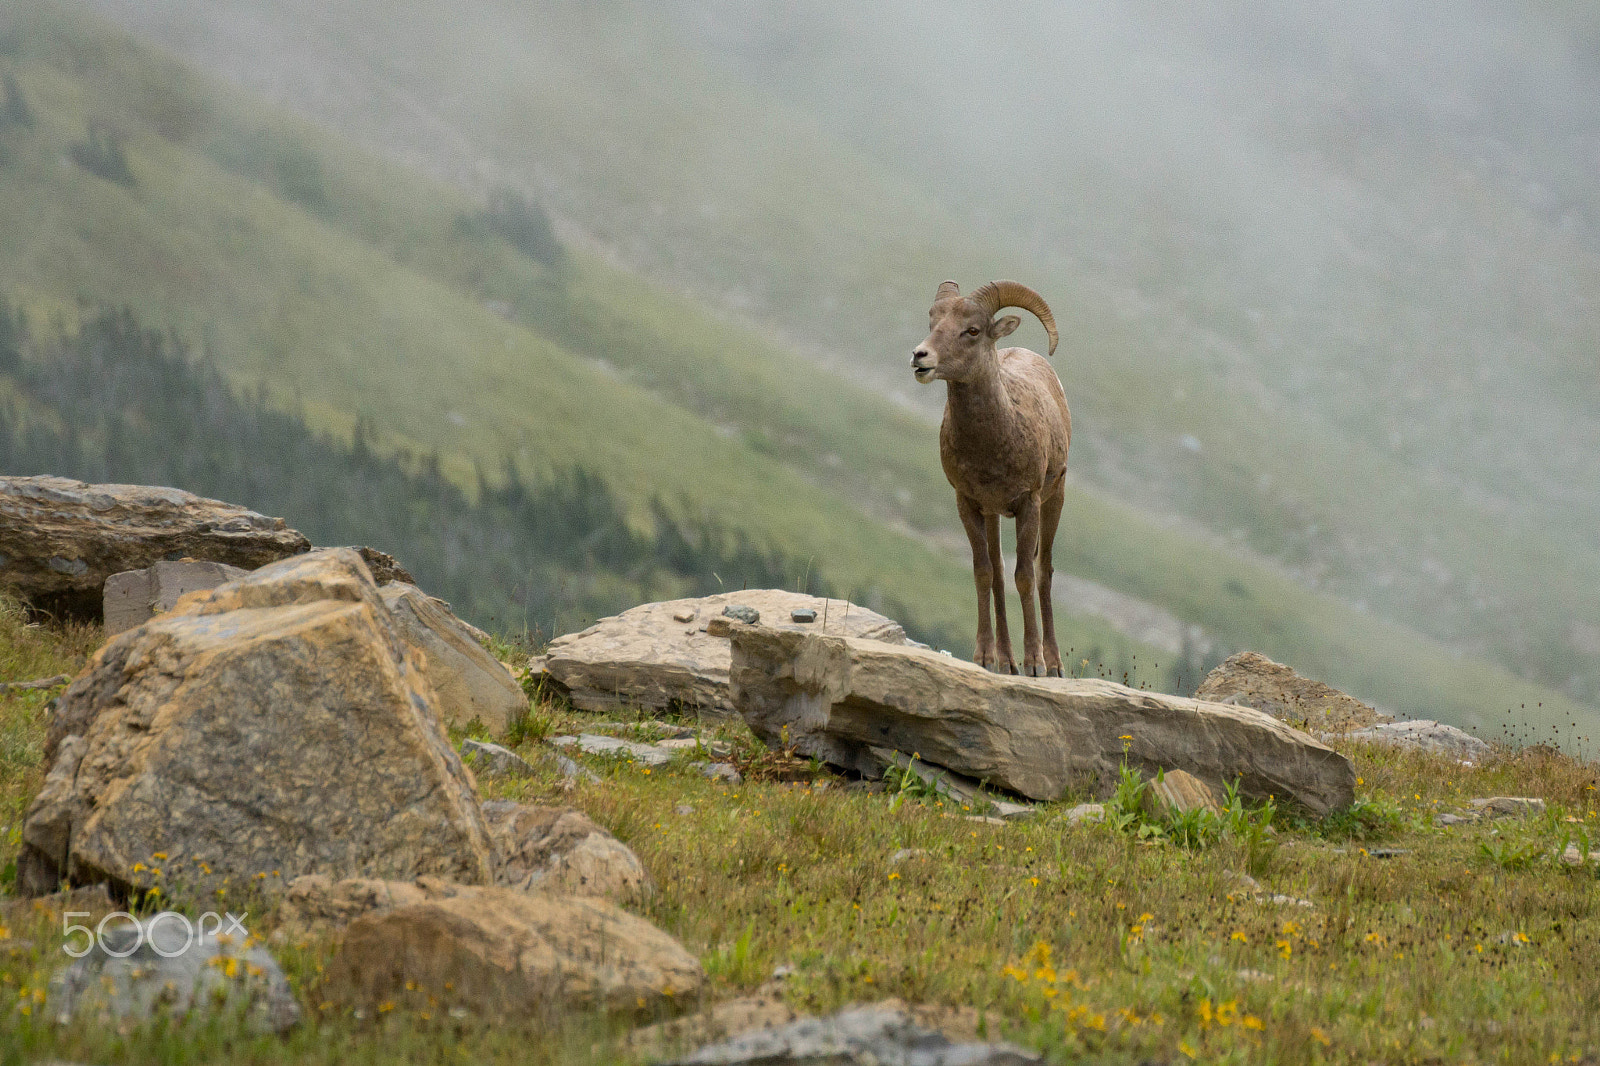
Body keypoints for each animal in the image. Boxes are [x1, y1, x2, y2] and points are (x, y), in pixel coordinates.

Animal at [915, 275, 1062, 672]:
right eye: (933, 322)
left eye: (972, 330)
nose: (920, 357)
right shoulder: (968, 502)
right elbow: (984, 573)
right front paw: (983, 657)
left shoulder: (1028, 503)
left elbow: (1024, 576)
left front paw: (1034, 663)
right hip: (993, 515)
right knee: (997, 572)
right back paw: (1006, 661)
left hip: (1054, 501)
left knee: (1043, 573)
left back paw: (1052, 664)